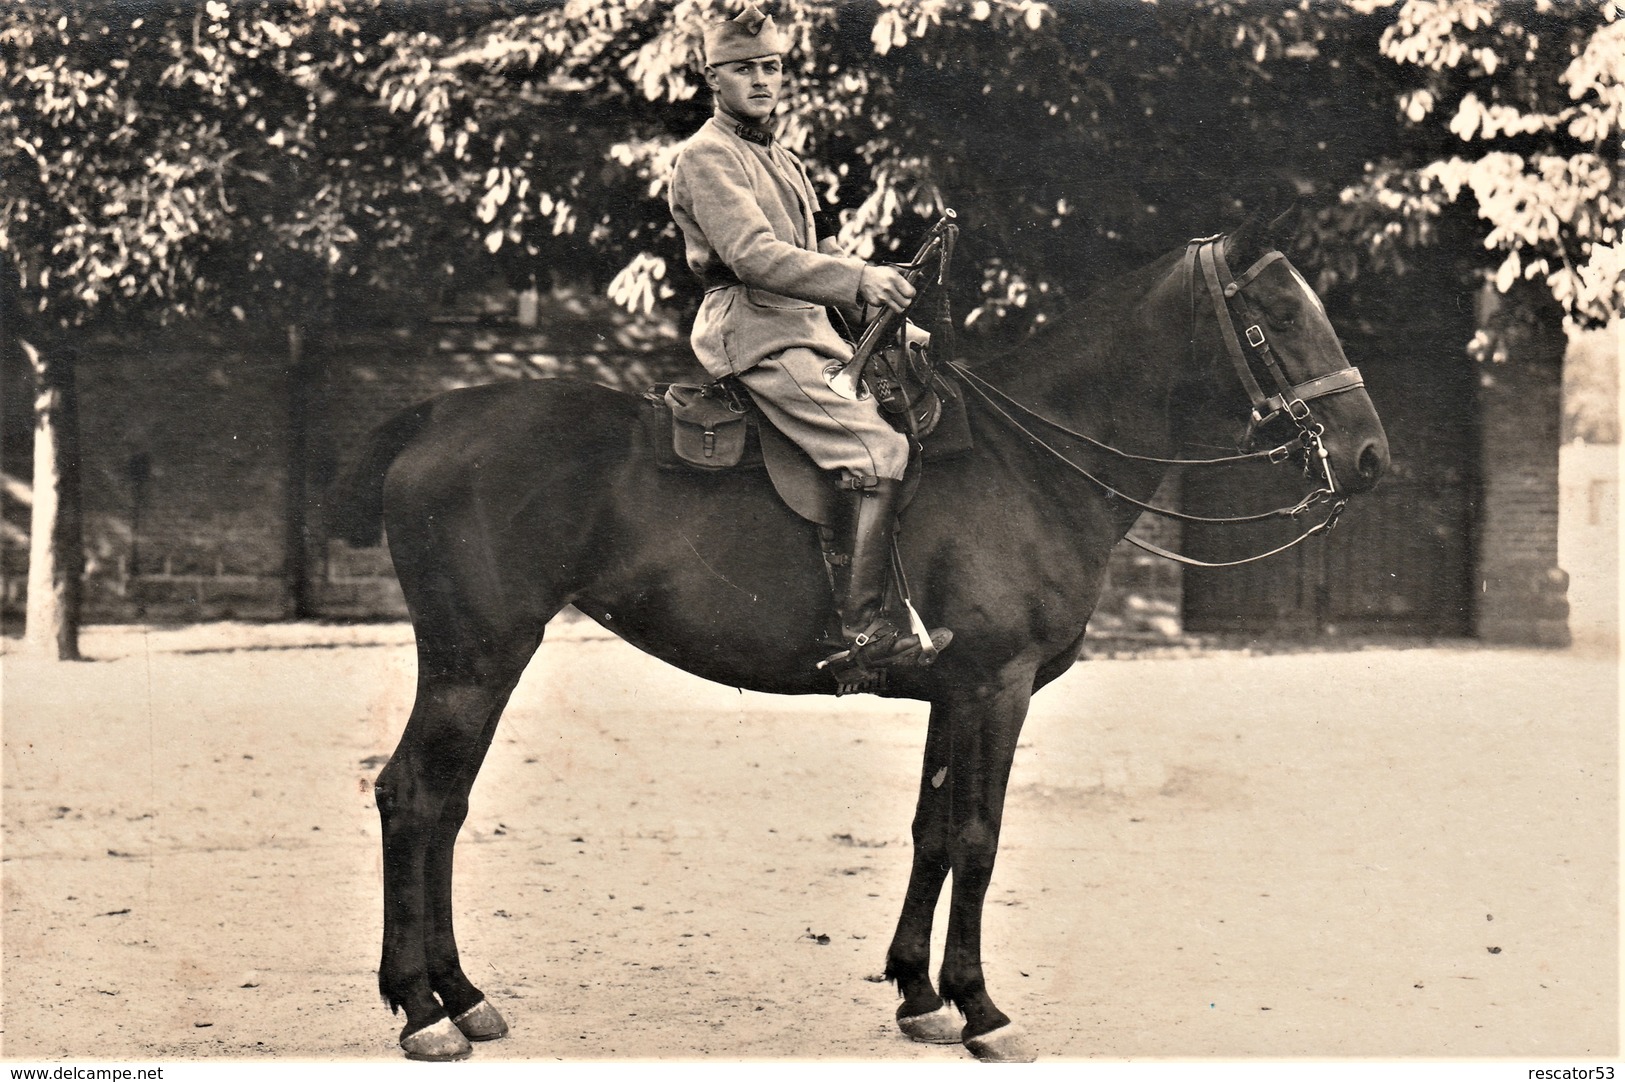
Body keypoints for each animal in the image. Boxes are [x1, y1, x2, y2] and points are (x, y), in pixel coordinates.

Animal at [339, 207, 1384, 1052]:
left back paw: (461, 995)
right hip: (477, 657)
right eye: (1282, 317)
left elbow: (930, 831)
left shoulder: (952, 693)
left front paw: (920, 995)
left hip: (485, 660)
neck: (1030, 461)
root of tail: (437, 415)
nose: (1370, 457)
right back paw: (423, 1010)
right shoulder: (995, 689)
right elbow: (977, 837)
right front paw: (982, 1008)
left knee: (445, 804)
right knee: (412, 796)